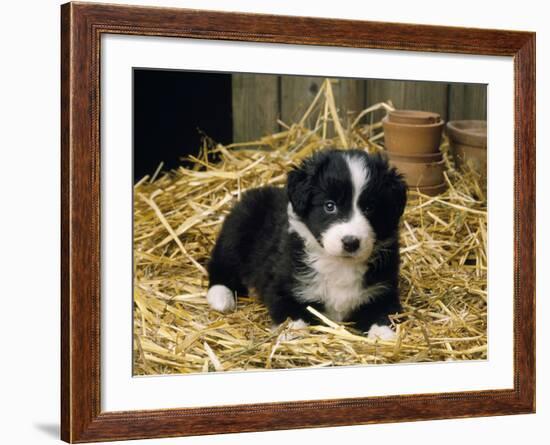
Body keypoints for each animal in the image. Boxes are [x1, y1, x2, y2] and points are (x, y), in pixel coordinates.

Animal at [205, 147, 408, 338]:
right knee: (221, 266)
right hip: (237, 232)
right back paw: (221, 298)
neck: (339, 264)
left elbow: (383, 314)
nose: (351, 242)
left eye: (370, 208)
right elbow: (293, 316)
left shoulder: (382, 291)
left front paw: (383, 334)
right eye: (329, 206)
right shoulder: (284, 286)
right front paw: (292, 333)